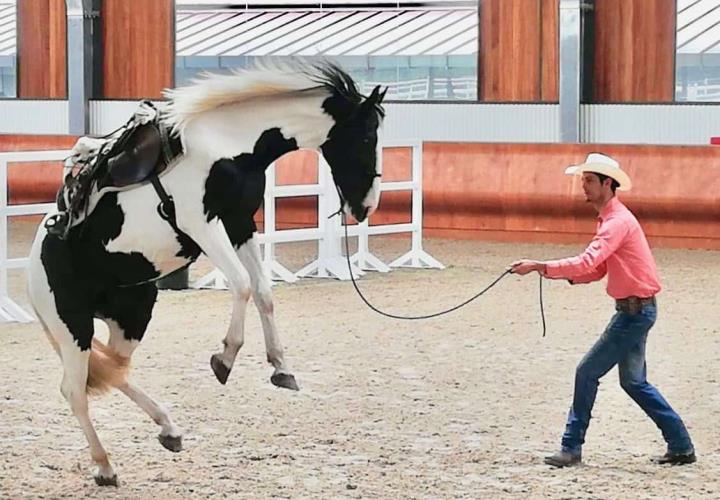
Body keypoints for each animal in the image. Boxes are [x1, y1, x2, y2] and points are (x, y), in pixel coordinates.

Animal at [27, 64, 386, 486]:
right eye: (366, 135)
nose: (367, 207)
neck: (226, 143)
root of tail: (33, 267)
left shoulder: (239, 223)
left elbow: (263, 290)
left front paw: (281, 367)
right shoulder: (202, 225)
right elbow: (242, 285)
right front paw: (225, 358)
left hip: (131, 318)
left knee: (114, 372)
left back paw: (168, 429)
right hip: (73, 328)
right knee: (74, 390)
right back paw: (105, 466)